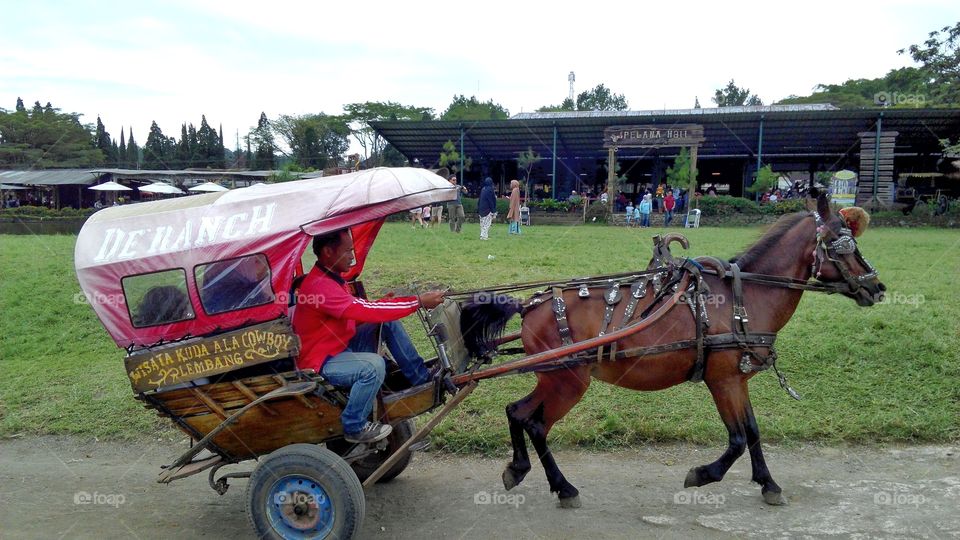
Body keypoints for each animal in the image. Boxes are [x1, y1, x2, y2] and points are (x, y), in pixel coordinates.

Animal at [458, 192, 884, 508]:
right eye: (843, 244)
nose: (877, 287)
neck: (743, 298)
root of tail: (528, 305)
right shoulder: (722, 379)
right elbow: (737, 438)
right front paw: (703, 475)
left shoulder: (737, 379)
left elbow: (753, 431)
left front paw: (768, 483)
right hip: (567, 380)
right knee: (533, 422)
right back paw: (562, 487)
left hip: (556, 378)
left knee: (517, 413)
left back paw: (521, 470)